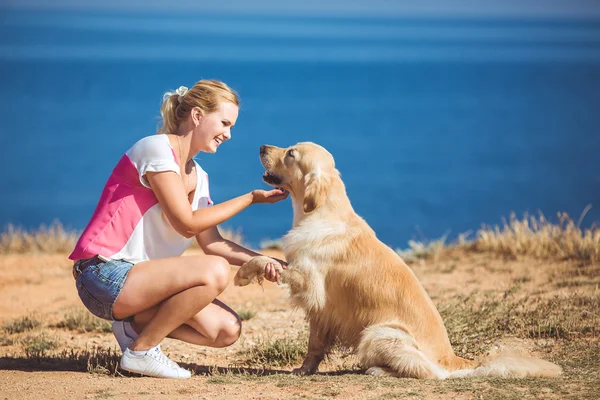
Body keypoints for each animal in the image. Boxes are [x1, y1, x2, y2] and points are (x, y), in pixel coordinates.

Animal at [232, 143, 560, 378]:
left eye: (290, 153)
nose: (261, 146)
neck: (321, 212)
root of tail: (452, 359)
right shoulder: (321, 308)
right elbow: (314, 345)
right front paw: (304, 370)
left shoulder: (310, 283)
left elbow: (268, 261)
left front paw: (243, 274)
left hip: (378, 333)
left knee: (427, 373)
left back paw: (378, 370)